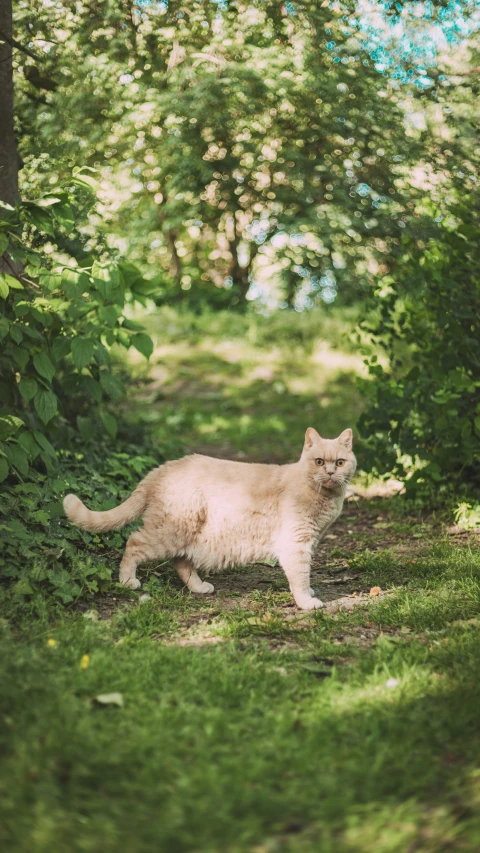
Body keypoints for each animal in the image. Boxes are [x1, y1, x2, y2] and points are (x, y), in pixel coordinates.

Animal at [63, 430, 356, 608]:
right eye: (319, 462)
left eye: (340, 462)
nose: (331, 472)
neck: (322, 496)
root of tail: (162, 467)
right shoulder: (296, 543)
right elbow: (300, 575)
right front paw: (306, 601)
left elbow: (303, 573)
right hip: (170, 532)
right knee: (134, 543)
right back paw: (127, 581)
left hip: (188, 535)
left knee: (181, 562)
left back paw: (198, 587)